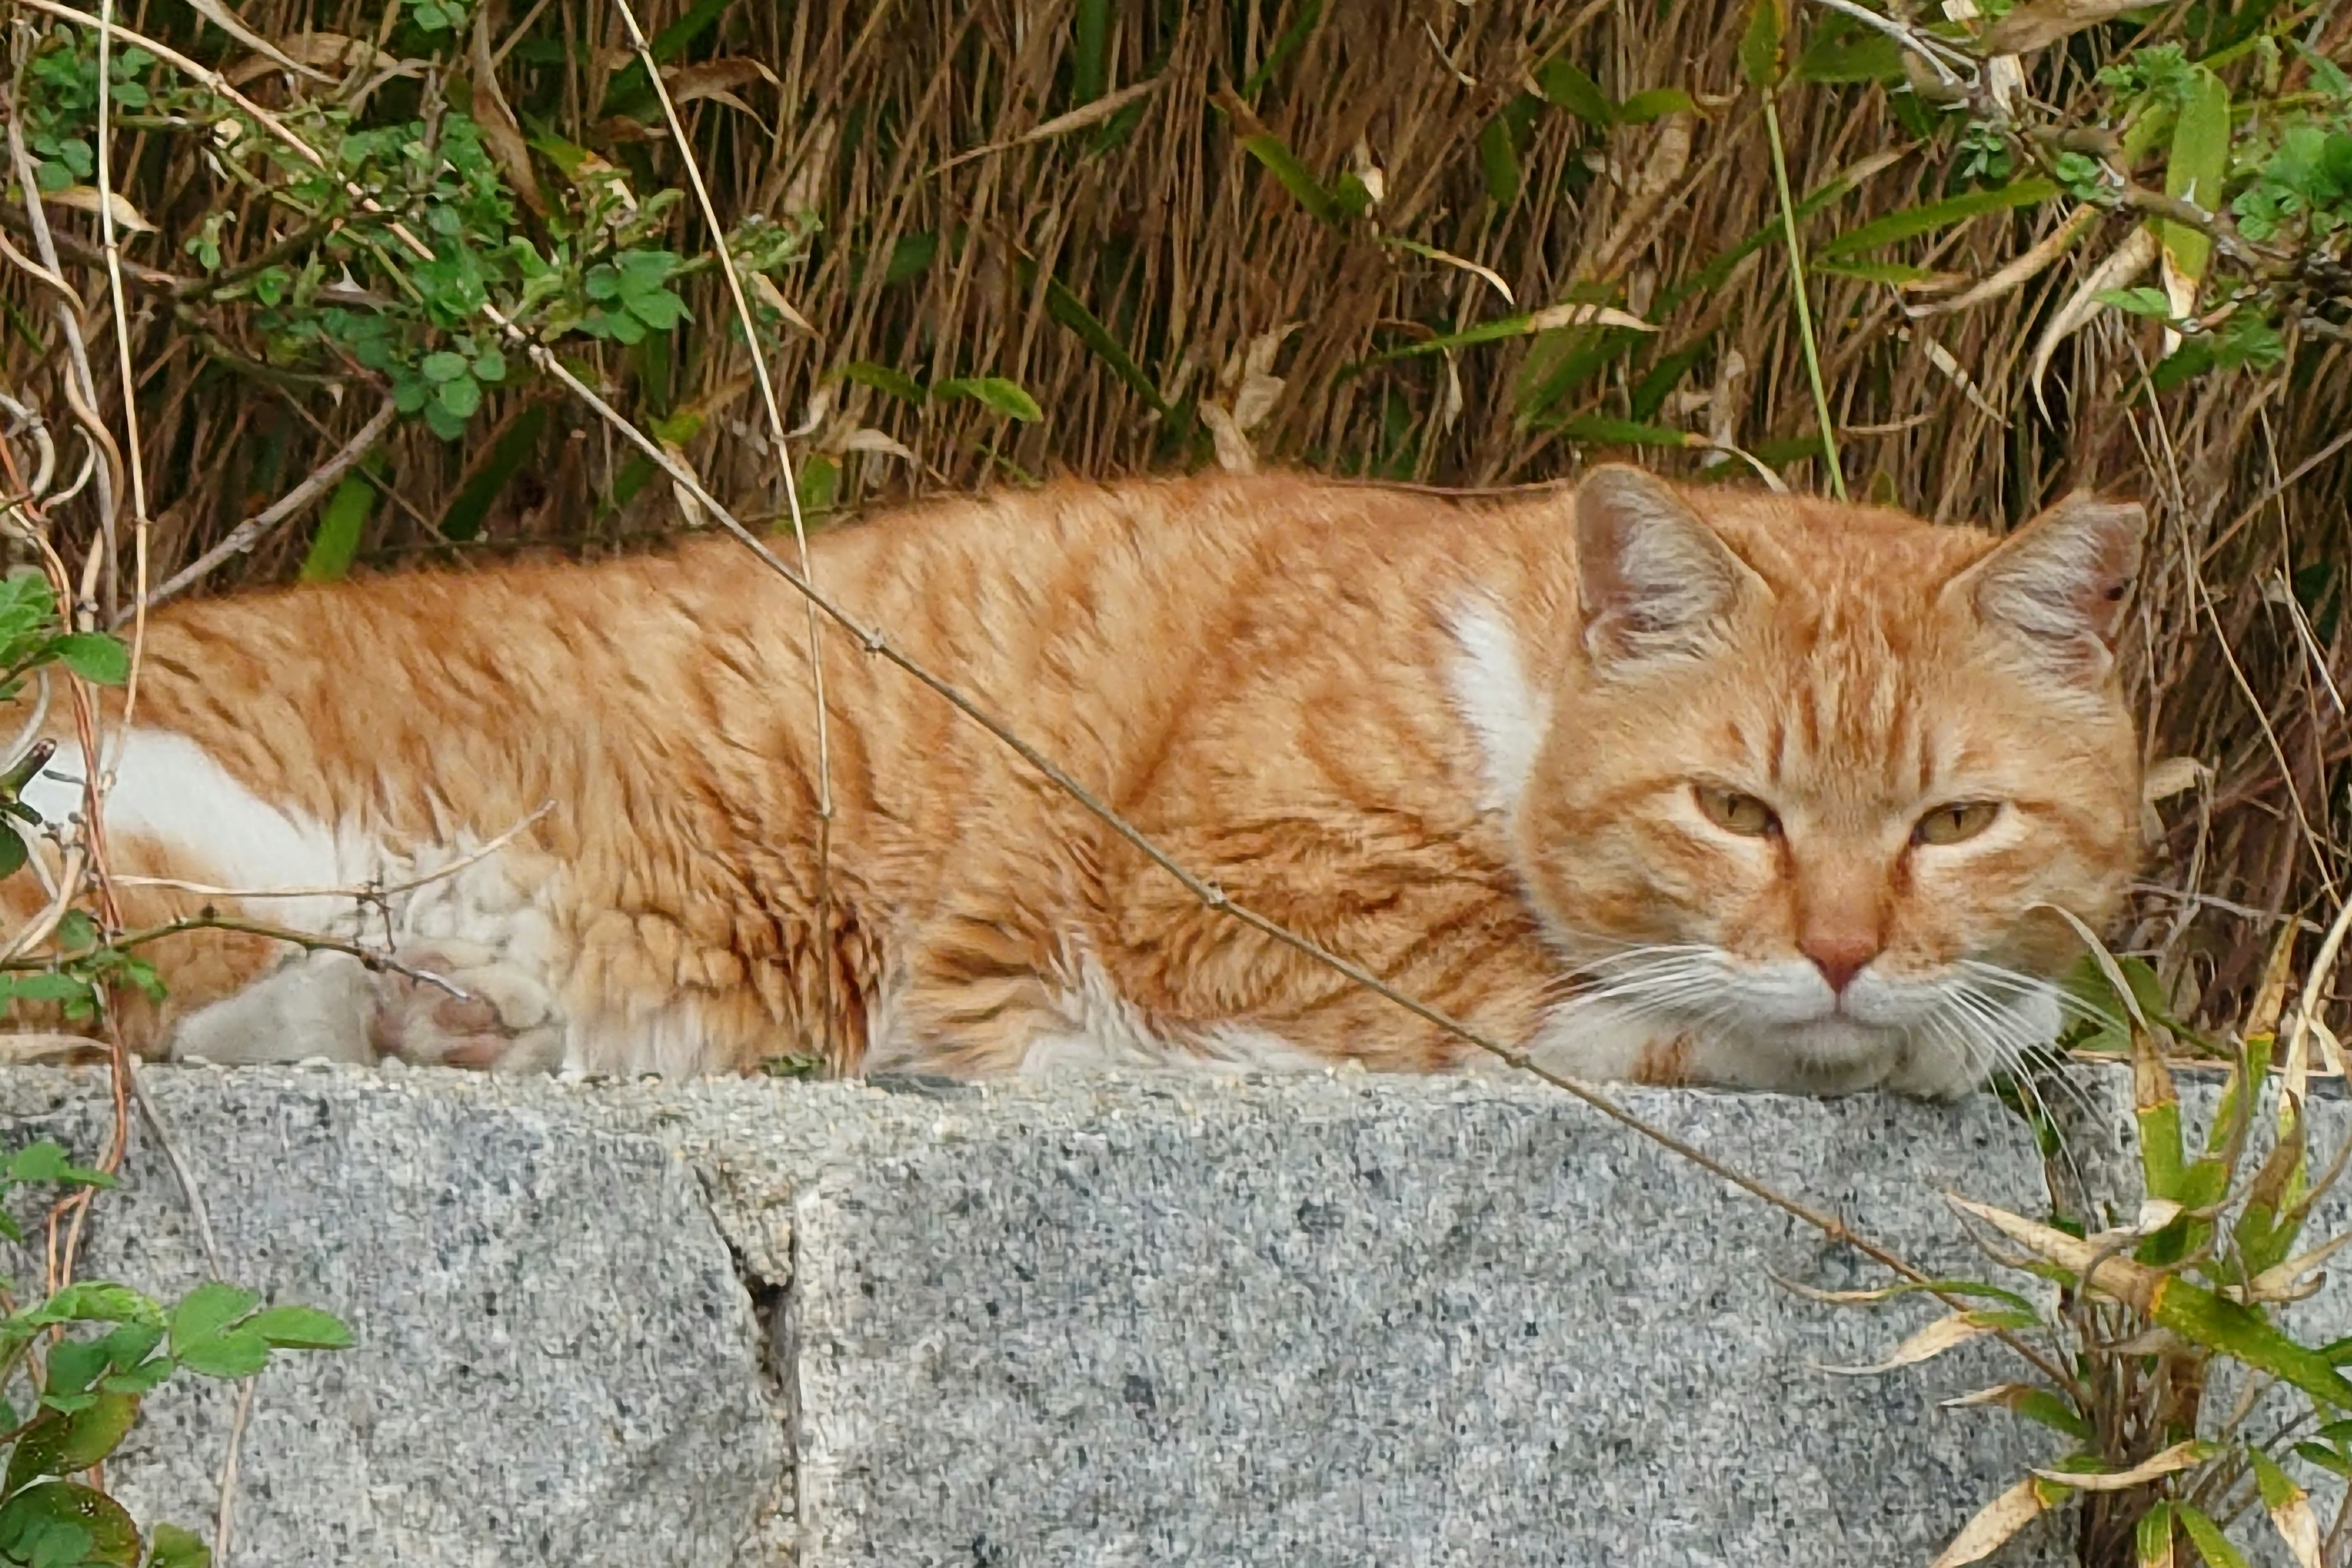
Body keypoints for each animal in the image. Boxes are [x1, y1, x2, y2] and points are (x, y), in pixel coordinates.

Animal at [0, 465, 2145, 1100]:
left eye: (1955, 823)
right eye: (1738, 812)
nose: (1850, 949)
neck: (1496, 667)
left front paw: (1965, 1002)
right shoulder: (1232, 904)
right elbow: (1600, 997)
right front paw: (1910, 1034)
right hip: (152, 836)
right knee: (116, 989)